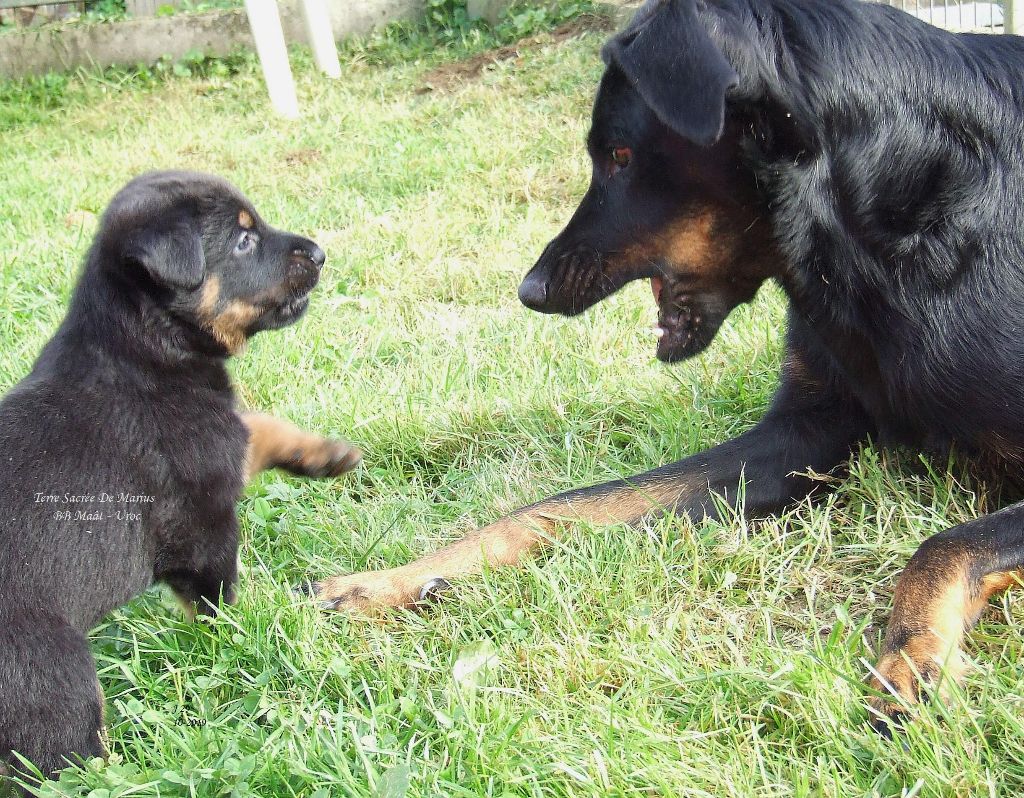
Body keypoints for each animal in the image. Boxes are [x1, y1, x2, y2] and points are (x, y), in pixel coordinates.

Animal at [0, 170, 362, 786]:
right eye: (243, 240)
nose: (319, 253)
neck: (141, 346)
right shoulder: (200, 515)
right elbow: (215, 593)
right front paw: (239, 631)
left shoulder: (221, 434)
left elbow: (255, 426)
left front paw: (321, 454)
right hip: (52, 678)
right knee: (66, 764)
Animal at [311, 0, 1024, 733]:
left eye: (620, 156)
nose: (530, 292)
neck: (900, 227)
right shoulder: (801, 434)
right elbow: (560, 506)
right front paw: (395, 578)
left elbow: (947, 542)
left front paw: (911, 657)